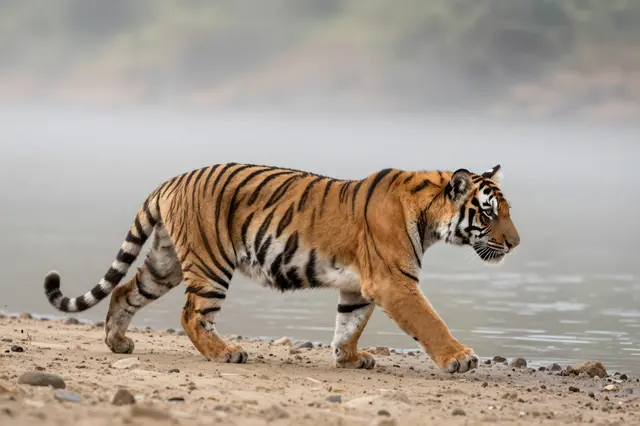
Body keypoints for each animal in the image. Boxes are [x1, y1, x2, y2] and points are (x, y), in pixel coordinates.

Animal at [43, 162, 519, 374]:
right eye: (489, 213)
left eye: (507, 211)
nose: (515, 243)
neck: (430, 215)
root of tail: (171, 180)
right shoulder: (394, 282)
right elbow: (430, 321)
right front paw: (460, 358)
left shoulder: (359, 286)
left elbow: (350, 324)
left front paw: (349, 358)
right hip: (210, 264)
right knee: (192, 314)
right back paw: (225, 352)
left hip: (166, 262)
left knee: (125, 291)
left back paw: (118, 342)